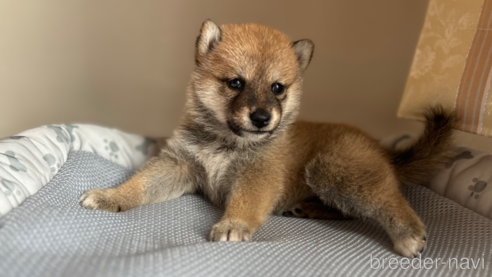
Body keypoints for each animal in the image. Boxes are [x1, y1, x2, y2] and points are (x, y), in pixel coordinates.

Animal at [79, 20, 456, 258]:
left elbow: (245, 204)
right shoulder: (178, 166)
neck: (226, 142)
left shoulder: (256, 175)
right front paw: (111, 196)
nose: (262, 118)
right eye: (235, 83)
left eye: (278, 88)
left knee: (388, 200)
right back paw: (308, 208)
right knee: (353, 211)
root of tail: (382, 150)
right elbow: (140, 185)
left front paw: (233, 224)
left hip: (334, 171)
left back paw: (408, 235)